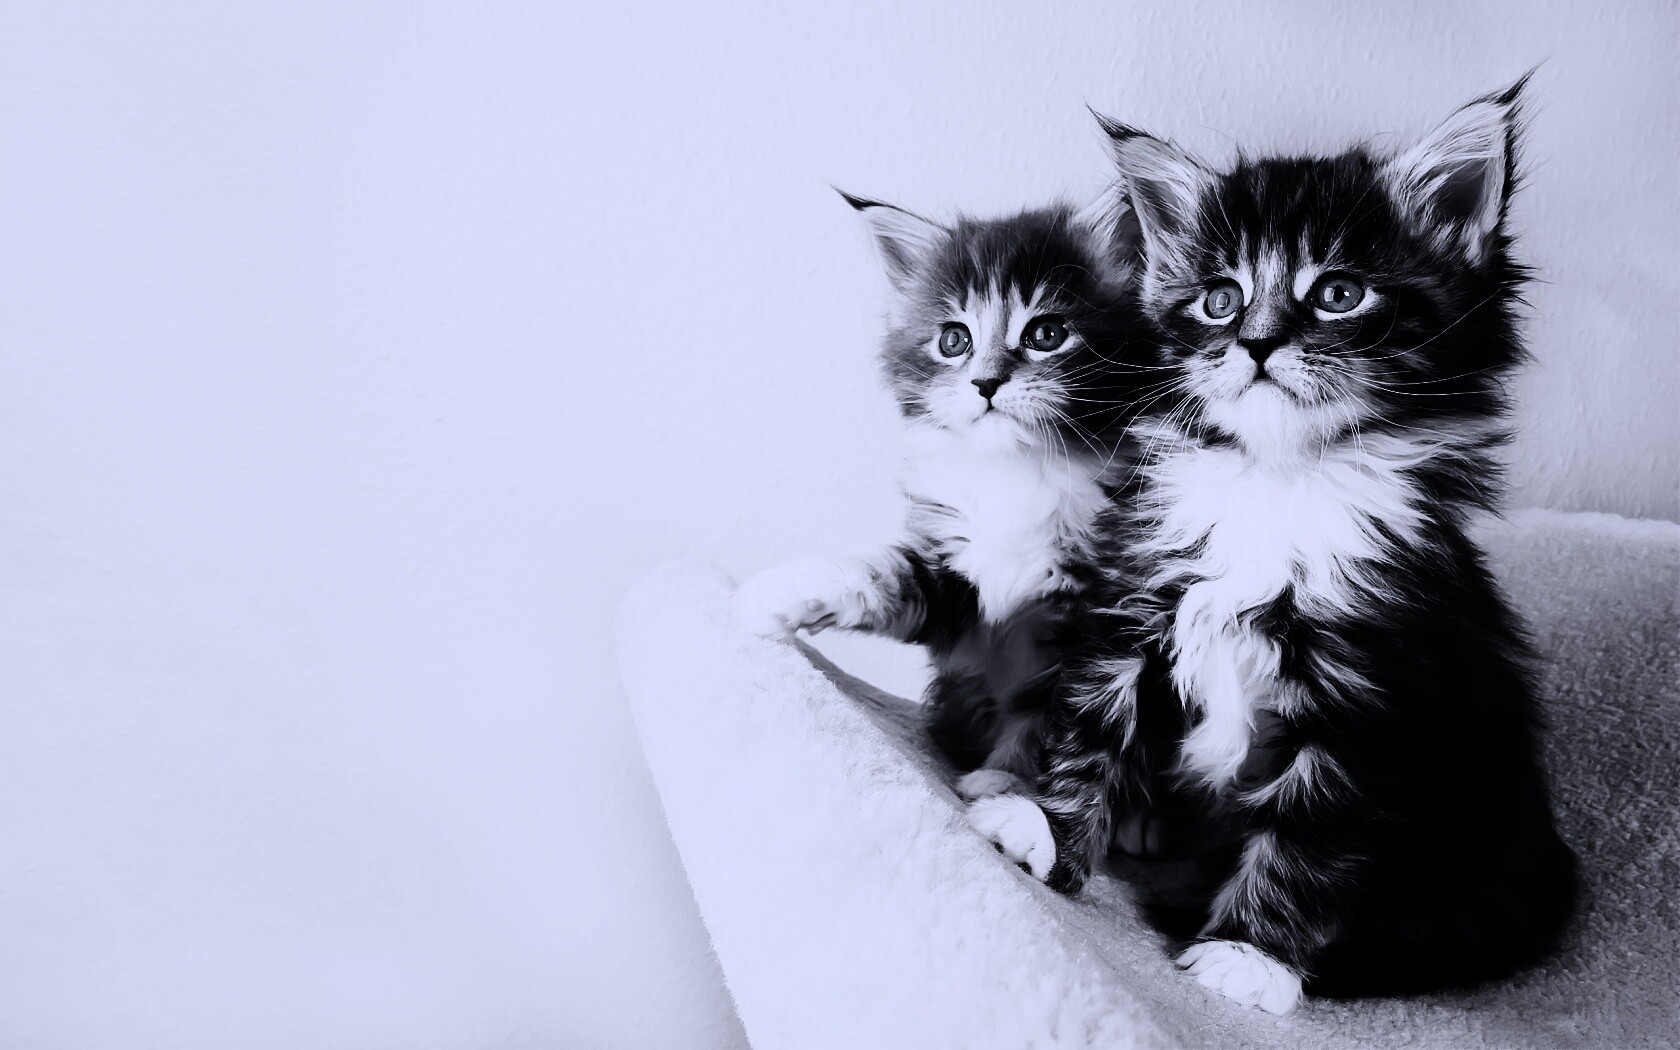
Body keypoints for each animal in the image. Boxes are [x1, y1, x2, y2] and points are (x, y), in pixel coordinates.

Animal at [733, 190, 1158, 795]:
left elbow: (1053, 720)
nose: (985, 382)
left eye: (1047, 335)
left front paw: (1004, 792)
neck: (1019, 473)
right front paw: (785, 590)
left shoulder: (1096, 616)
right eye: (954, 340)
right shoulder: (959, 576)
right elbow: (889, 573)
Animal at [968, 77, 1578, 1015]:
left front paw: (1247, 956)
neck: (1278, 480)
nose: (1254, 343)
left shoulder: (1374, 692)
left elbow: (1310, 838)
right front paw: (1046, 829)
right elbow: (1091, 733)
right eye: (1219, 299)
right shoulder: (1133, 610)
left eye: (1339, 294)